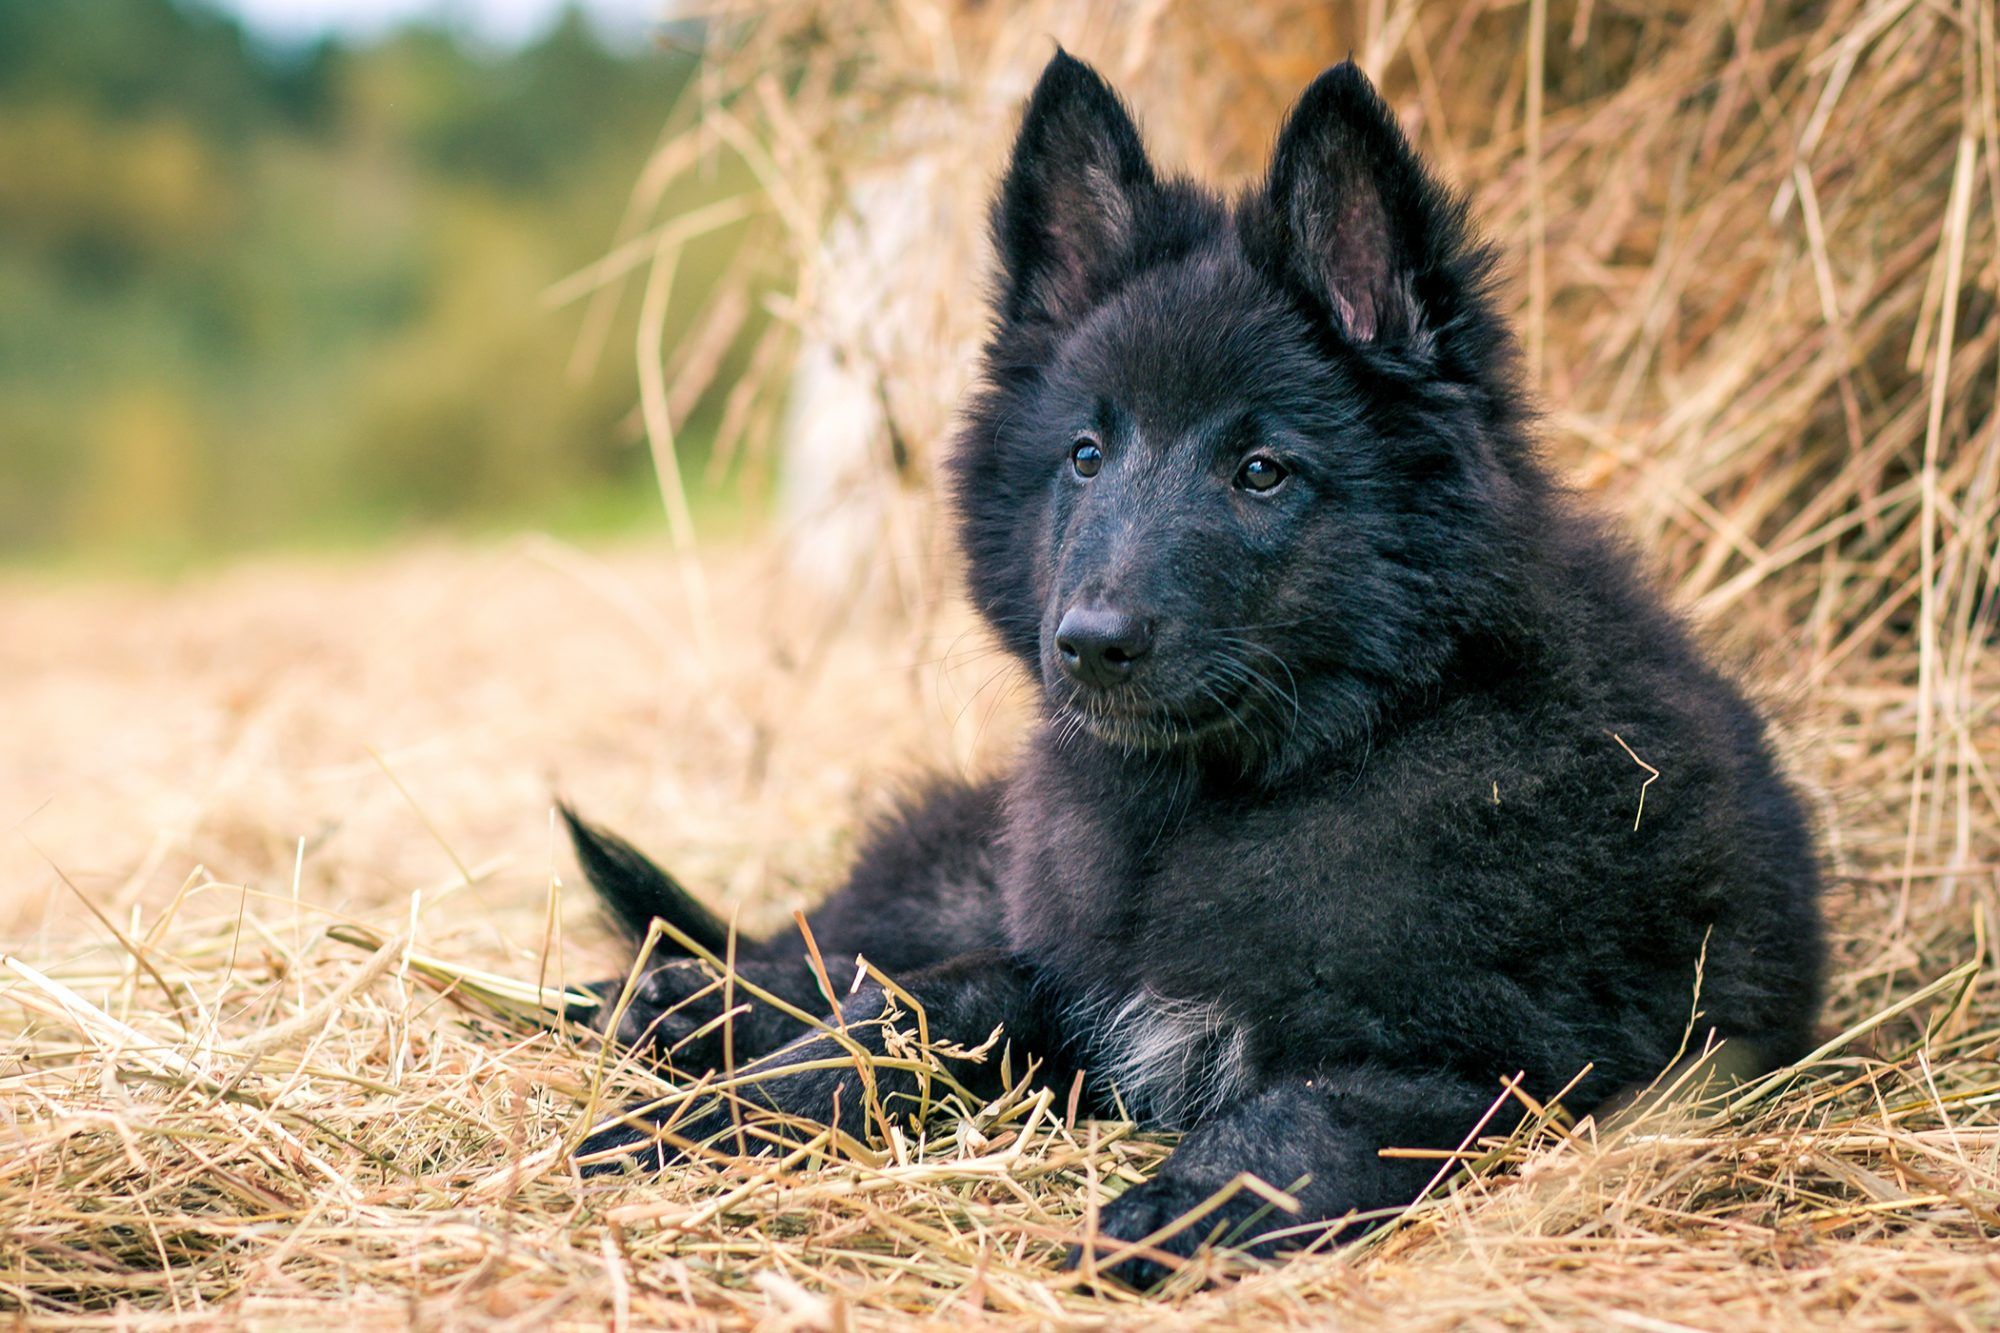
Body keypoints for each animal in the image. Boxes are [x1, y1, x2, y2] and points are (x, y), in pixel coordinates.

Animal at [568, 54, 1832, 1288]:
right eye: (1084, 455)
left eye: (1260, 469)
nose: (1088, 643)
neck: (1238, 794)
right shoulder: (1064, 973)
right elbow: (920, 1002)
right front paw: (706, 1115)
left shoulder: (1483, 1065)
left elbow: (1291, 1124)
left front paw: (1152, 1221)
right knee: (839, 937)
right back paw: (683, 1001)